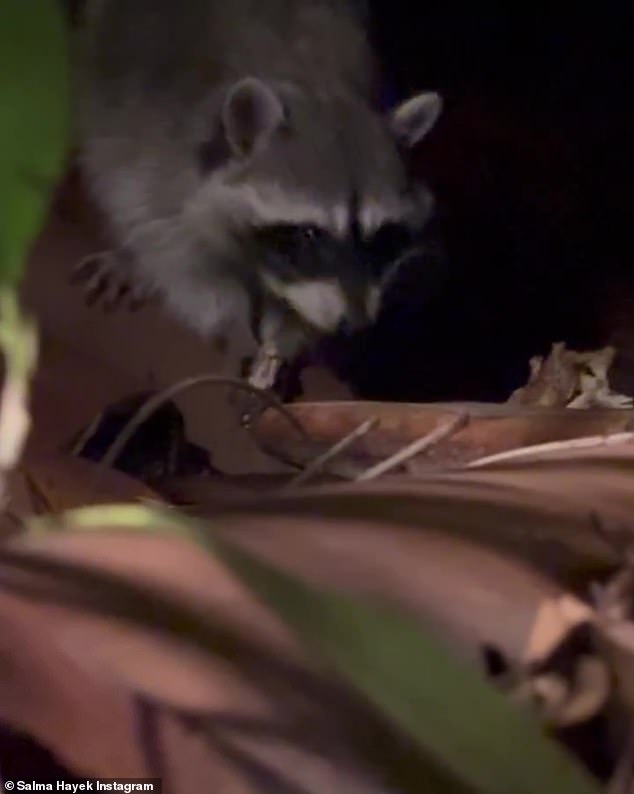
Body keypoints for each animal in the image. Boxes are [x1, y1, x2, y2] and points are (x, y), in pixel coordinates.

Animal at [73, 0, 440, 388]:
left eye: (381, 238)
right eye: (308, 234)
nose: (355, 327)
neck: (314, 83)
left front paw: (289, 336)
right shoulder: (165, 163)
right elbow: (179, 258)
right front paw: (231, 323)